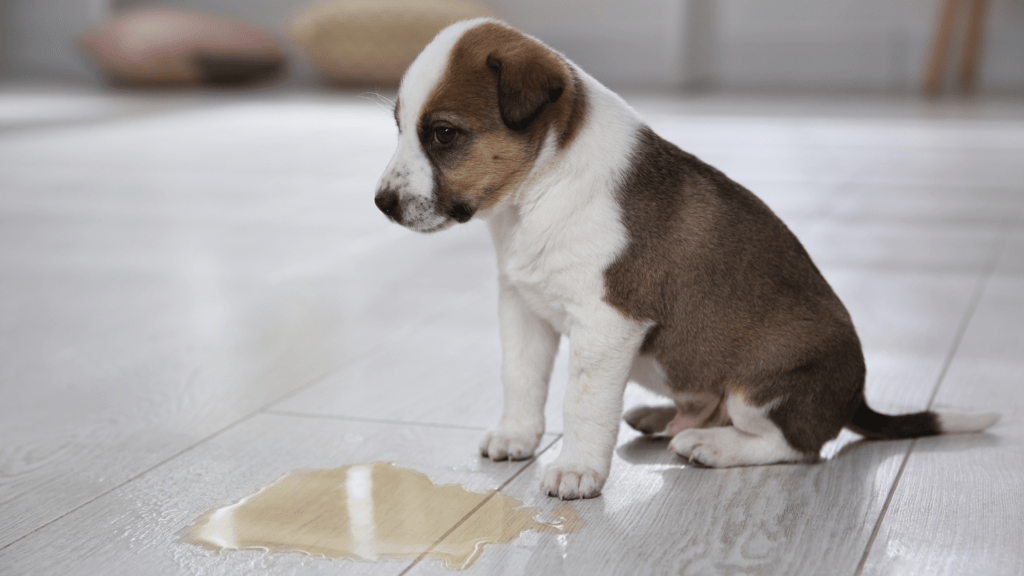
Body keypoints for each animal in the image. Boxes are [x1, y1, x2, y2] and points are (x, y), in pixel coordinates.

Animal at [372, 19, 995, 498]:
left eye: (444, 134)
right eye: (401, 127)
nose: (380, 204)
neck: (538, 192)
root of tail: (854, 398)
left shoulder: (608, 324)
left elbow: (583, 403)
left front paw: (576, 469)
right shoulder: (523, 308)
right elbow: (520, 379)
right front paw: (517, 436)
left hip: (762, 386)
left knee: (797, 445)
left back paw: (712, 444)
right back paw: (661, 416)